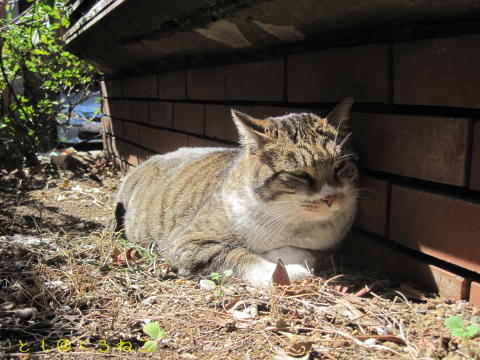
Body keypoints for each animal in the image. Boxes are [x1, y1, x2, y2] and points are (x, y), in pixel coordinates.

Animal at [112, 97, 358, 286]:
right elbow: (237, 255)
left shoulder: (328, 244)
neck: (287, 217)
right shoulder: (188, 243)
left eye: (339, 166)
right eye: (300, 174)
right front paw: (284, 271)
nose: (331, 197)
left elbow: (301, 251)